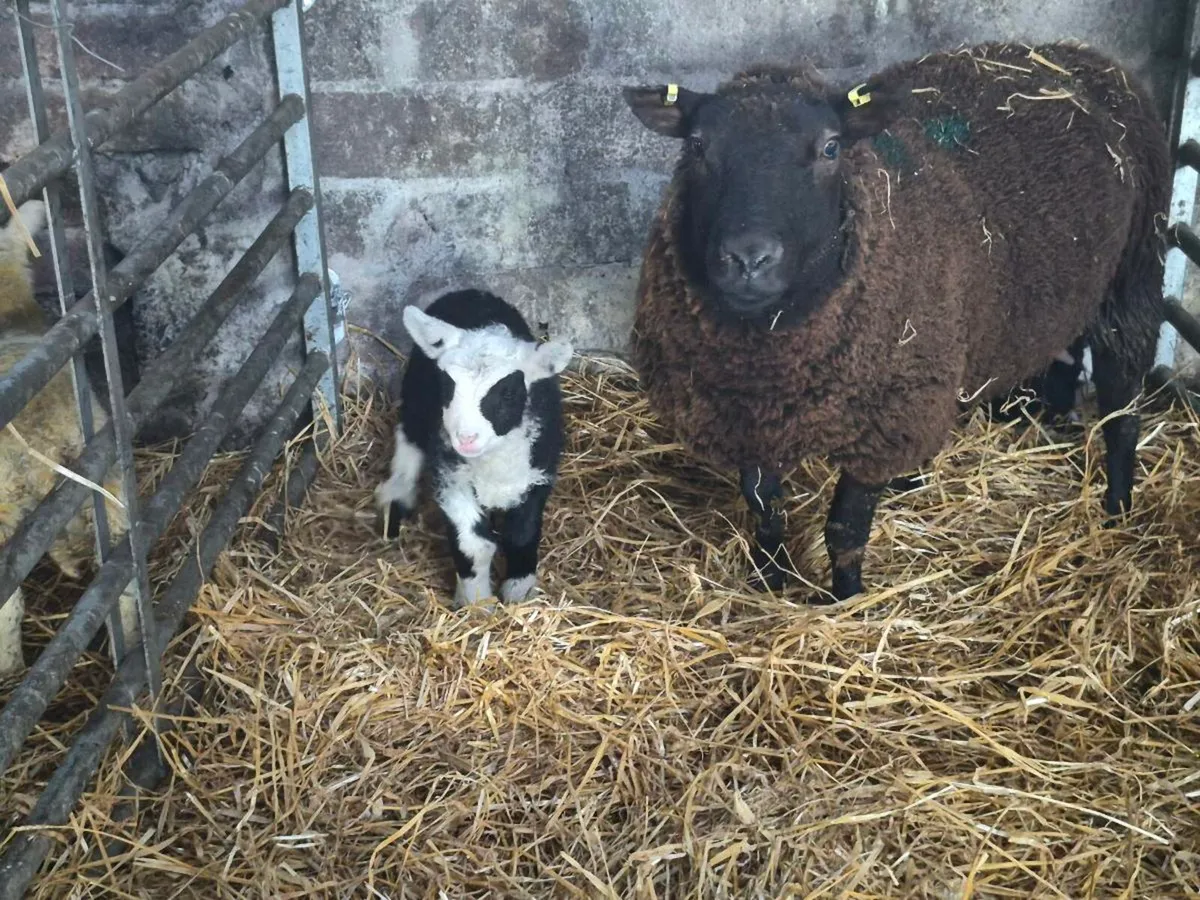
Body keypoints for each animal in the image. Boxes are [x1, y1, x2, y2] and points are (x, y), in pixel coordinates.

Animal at [374, 289, 573, 608]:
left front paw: (519, 592)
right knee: (409, 439)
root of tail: (469, 293)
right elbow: (474, 544)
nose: (466, 438)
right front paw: (476, 602)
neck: (493, 464)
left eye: (508, 392)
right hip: (415, 395)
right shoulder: (451, 477)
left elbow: (521, 534)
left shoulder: (538, 473)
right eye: (447, 385)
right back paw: (396, 499)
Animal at [622, 42, 1169, 602]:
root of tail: (1074, 54)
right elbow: (765, 508)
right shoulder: (745, 417)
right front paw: (770, 578)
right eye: (697, 146)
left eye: (831, 148)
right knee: (1062, 358)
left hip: (1135, 272)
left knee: (1122, 404)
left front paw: (846, 598)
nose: (748, 259)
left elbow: (845, 528)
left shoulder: (889, 421)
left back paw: (1117, 508)